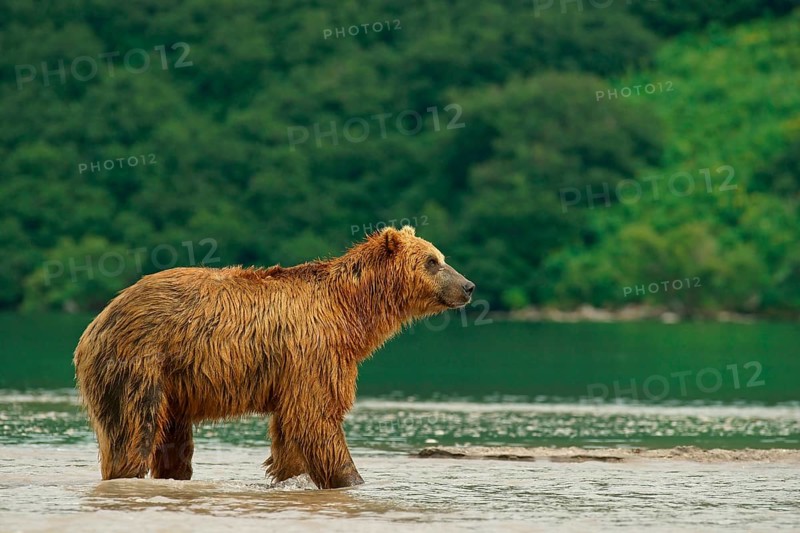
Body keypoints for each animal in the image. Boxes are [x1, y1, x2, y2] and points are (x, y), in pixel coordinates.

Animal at [73, 225, 474, 489]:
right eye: (432, 261)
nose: (468, 286)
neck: (350, 314)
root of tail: (98, 320)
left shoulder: (294, 370)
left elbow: (291, 433)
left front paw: (290, 476)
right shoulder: (314, 353)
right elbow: (317, 418)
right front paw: (352, 479)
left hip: (173, 383)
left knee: (173, 441)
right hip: (139, 362)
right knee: (133, 431)